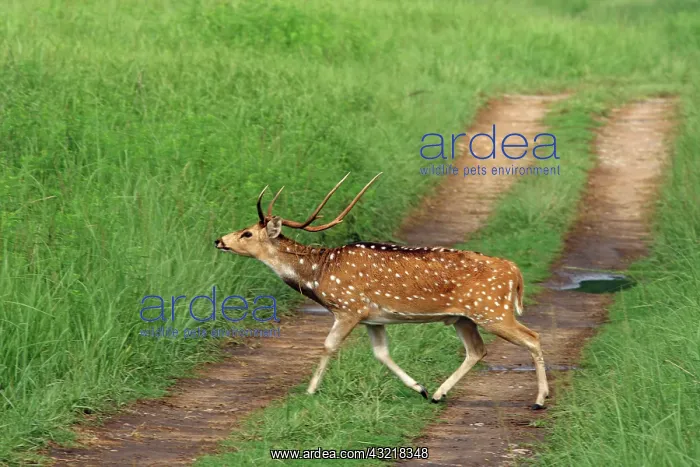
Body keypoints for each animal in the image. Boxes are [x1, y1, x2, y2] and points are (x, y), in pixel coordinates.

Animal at [215, 173, 549, 409]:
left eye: (247, 233)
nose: (219, 240)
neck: (318, 274)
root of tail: (514, 271)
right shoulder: (373, 318)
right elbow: (381, 353)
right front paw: (420, 388)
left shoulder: (349, 307)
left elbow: (328, 346)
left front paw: (309, 391)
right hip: (464, 317)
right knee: (477, 351)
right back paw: (438, 394)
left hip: (492, 310)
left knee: (533, 337)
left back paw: (539, 399)